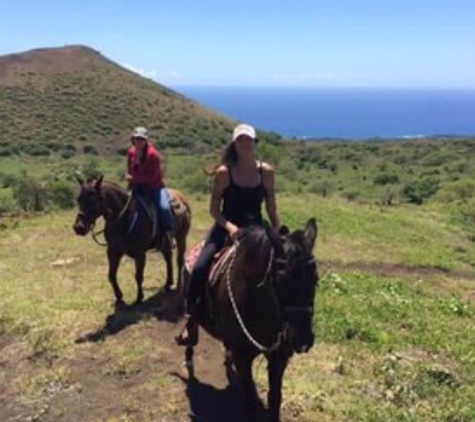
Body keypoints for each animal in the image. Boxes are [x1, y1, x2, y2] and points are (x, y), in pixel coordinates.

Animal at [72, 175, 192, 306]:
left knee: (179, 260)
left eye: (93, 200)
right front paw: (119, 297)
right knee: (168, 258)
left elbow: (138, 276)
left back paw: (178, 285)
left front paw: (139, 297)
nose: (79, 227)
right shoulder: (113, 251)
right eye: (78, 199)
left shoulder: (140, 254)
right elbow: (111, 275)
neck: (124, 218)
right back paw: (168, 283)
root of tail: (181, 197)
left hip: (181, 237)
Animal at [182, 219, 320, 420]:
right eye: (280, 280)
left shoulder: (279, 357)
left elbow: (275, 398)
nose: (303, 340)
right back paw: (189, 355)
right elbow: (249, 400)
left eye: (315, 280)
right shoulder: (243, 357)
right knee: (191, 327)